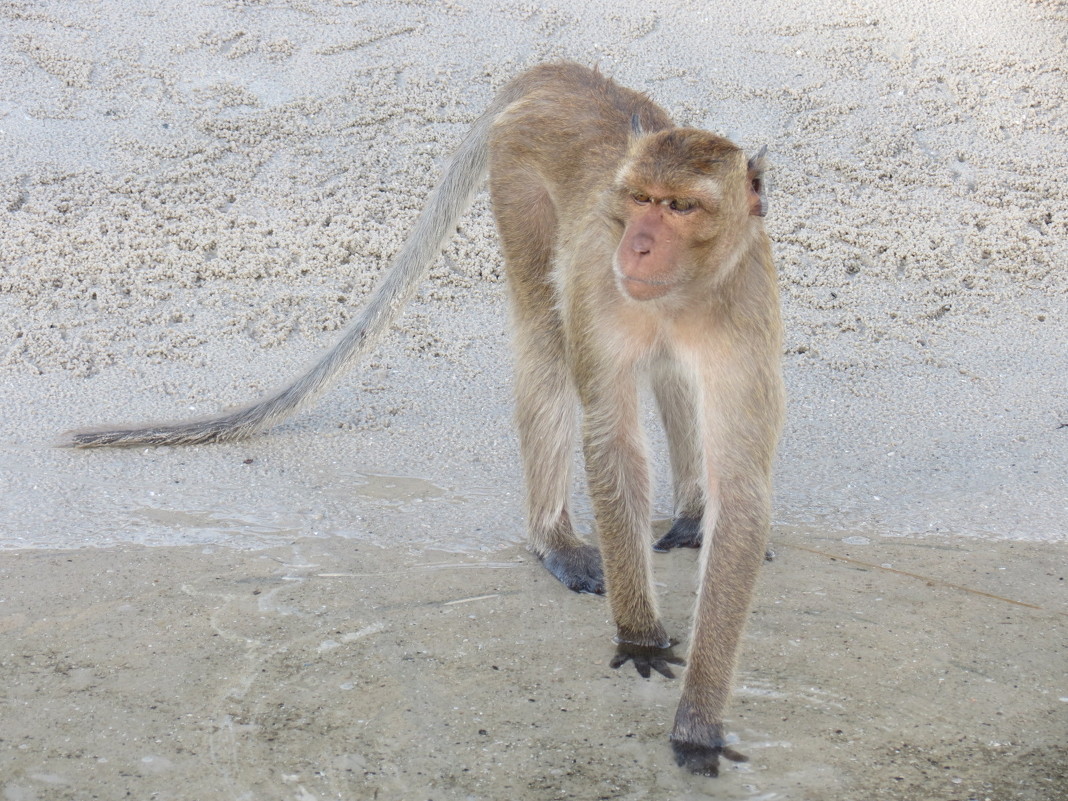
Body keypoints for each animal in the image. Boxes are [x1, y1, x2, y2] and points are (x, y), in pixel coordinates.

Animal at [64, 62, 786, 777]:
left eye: (680, 207)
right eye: (638, 199)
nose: (635, 246)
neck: (684, 295)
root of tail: (566, 76)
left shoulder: (746, 307)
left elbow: (741, 485)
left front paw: (698, 715)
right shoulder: (603, 291)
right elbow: (613, 443)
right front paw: (641, 639)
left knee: (662, 377)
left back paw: (689, 515)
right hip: (518, 182)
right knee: (547, 339)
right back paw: (552, 537)